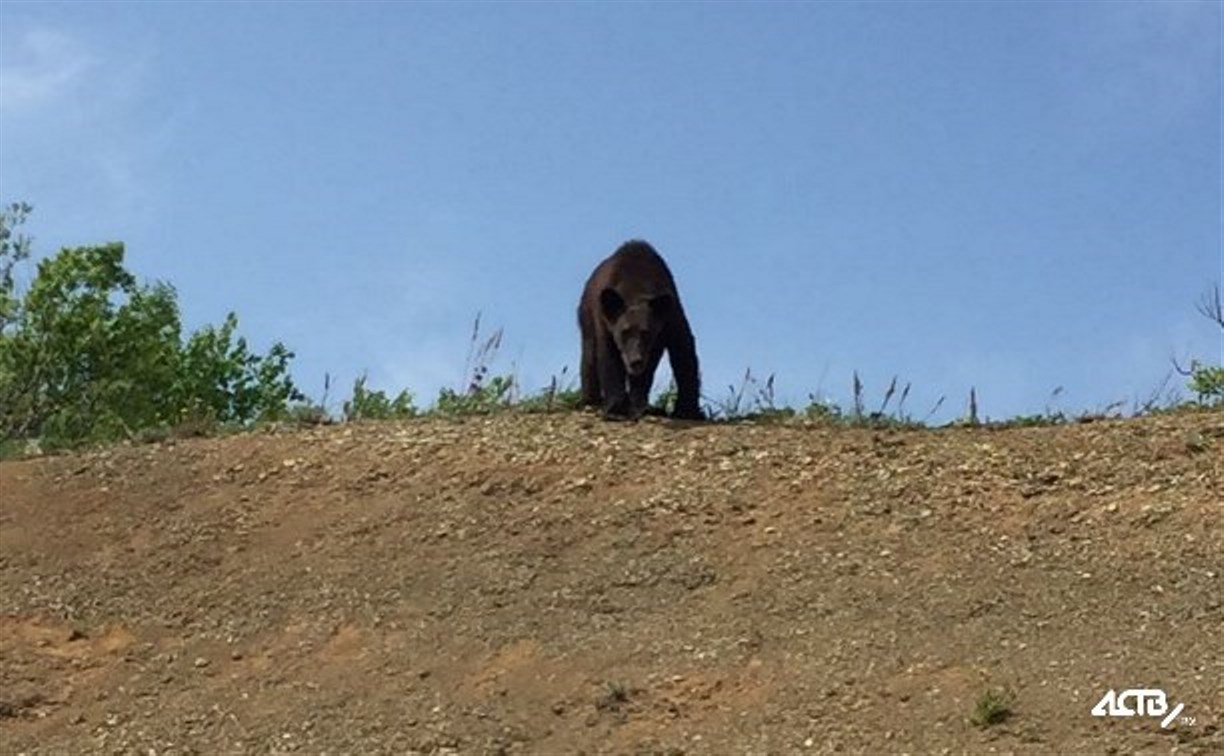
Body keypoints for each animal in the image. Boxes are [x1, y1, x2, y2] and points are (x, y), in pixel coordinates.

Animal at [577, 239, 705, 420]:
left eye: (646, 332)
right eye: (624, 331)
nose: (635, 360)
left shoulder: (668, 321)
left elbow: (681, 354)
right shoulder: (605, 322)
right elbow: (608, 357)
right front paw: (615, 407)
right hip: (586, 316)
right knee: (589, 353)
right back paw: (590, 400)